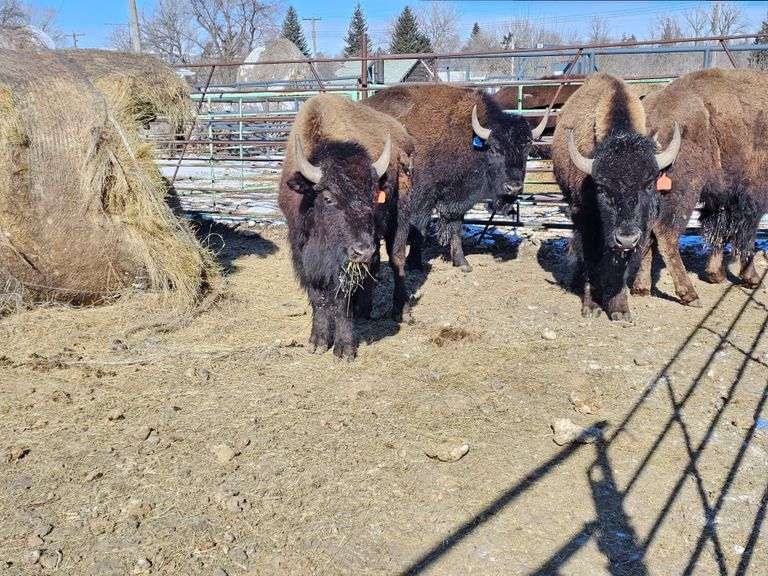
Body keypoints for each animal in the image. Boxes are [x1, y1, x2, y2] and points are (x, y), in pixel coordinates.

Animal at [278, 94, 415, 360]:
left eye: (373, 196)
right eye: (328, 197)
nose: (362, 251)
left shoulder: (344, 263)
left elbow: (341, 301)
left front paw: (344, 349)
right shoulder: (302, 253)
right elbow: (318, 298)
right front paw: (317, 342)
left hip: (398, 219)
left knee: (397, 260)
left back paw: (400, 311)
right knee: (375, 263)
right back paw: (365, 308)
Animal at [365, 84, 547, 272]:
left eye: (526, 149)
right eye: (494, 149)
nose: (514, 188)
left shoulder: (458, 199)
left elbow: (456, 228)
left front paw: (462, 263)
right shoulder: (422, 197)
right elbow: (420, 227)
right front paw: (414, 263)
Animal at [552, 73, 681, 321]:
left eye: (648, 184)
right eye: (601, 188)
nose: (626, 239)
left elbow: (621, 267)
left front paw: (620, 309)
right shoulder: (585, 219)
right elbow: (592, 259)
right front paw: (592, 307)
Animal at [632, 69, 768, 303]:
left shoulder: (723, 198)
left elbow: (721, 231)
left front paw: (715, 275)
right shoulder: (752, 197)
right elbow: (745, 235)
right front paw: (750, 278)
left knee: (648, 232)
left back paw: (641, 288)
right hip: (685, 190)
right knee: (665, 230)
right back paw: (689, 293)